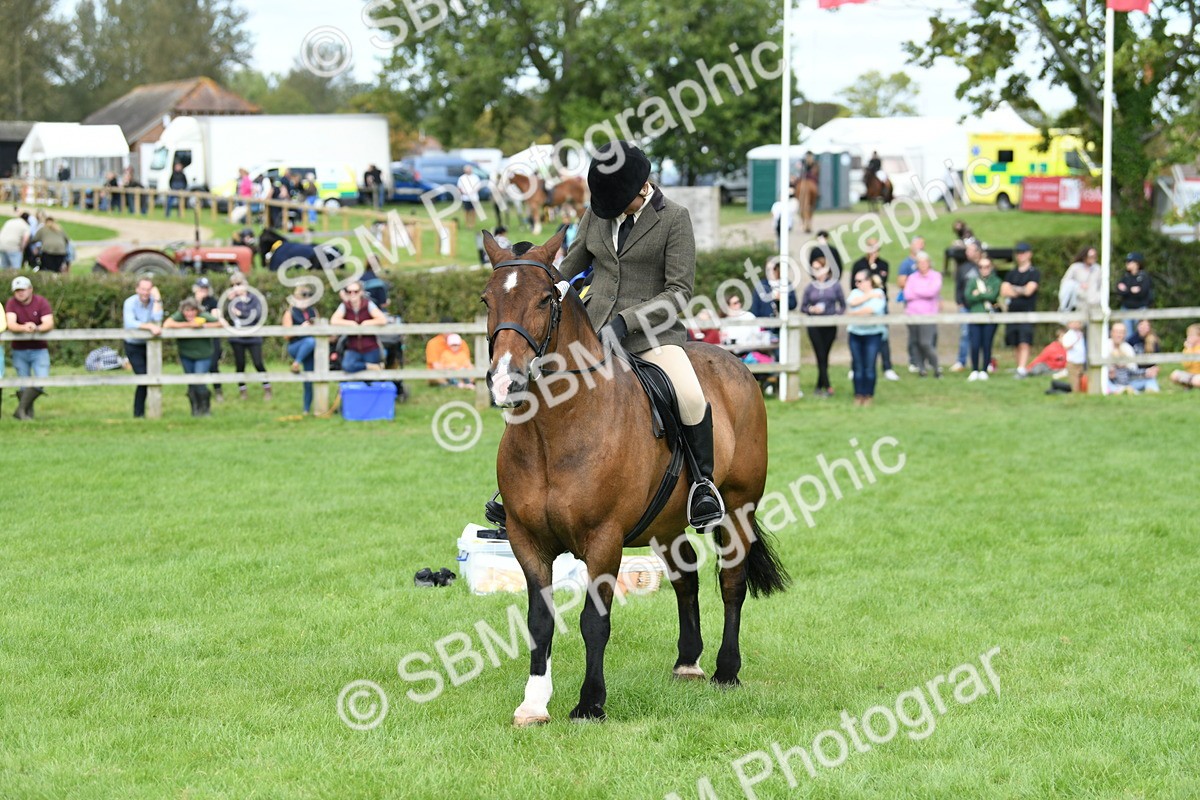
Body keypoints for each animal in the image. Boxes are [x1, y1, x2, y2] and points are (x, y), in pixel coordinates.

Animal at [480, 228, 790, 725]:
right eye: (487, 299)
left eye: (546, 299)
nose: (506, 382)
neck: (555, 430)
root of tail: (737, 364)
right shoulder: (526, 540)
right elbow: (538, 620)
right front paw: (533, 703)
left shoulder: (603, 540)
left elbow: (593, 621)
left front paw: (590, 703)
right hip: (665, 524)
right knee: (686, 577)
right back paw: (687, 663)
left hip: (738, 509)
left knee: (731, 582)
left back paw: (726, 671)